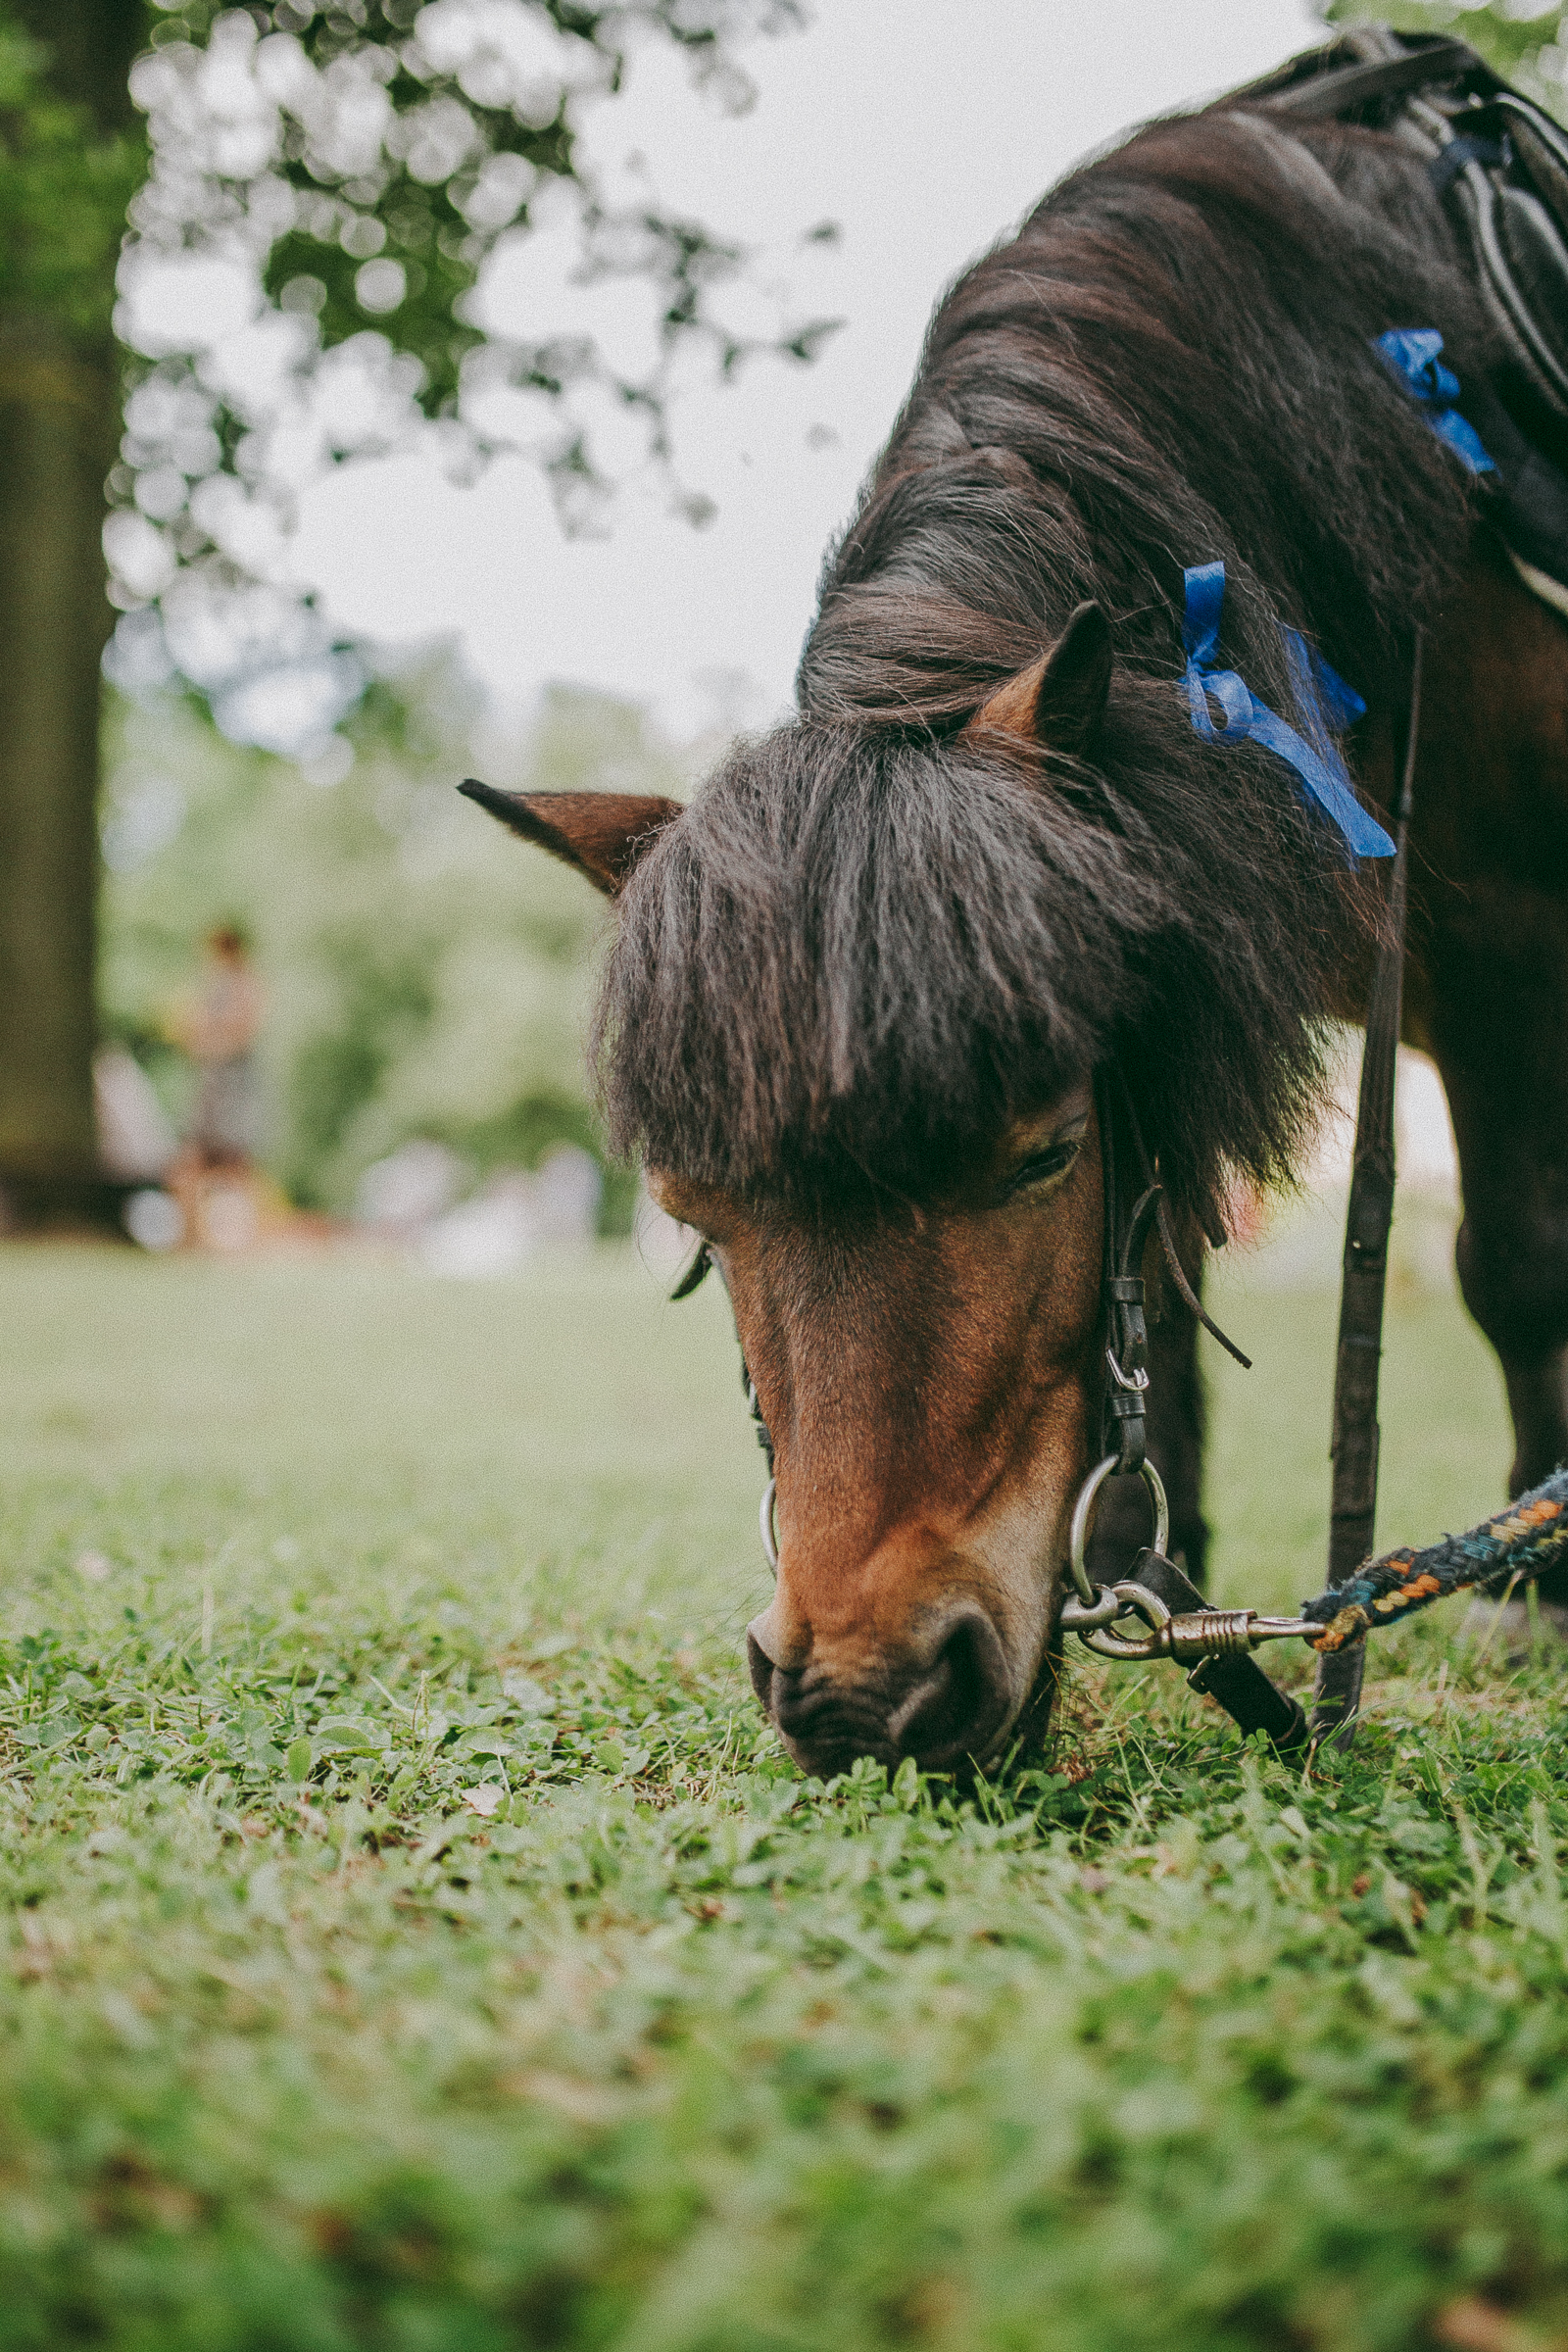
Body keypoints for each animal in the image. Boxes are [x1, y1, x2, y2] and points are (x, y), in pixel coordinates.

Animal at [465, 74, 1568, 1768]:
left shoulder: (1510, 956)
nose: (863, 1695)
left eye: (1043, 1151)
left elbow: (1513, 1262)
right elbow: (1157, 1283)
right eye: (698, 1221)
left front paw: (1530, 1593)